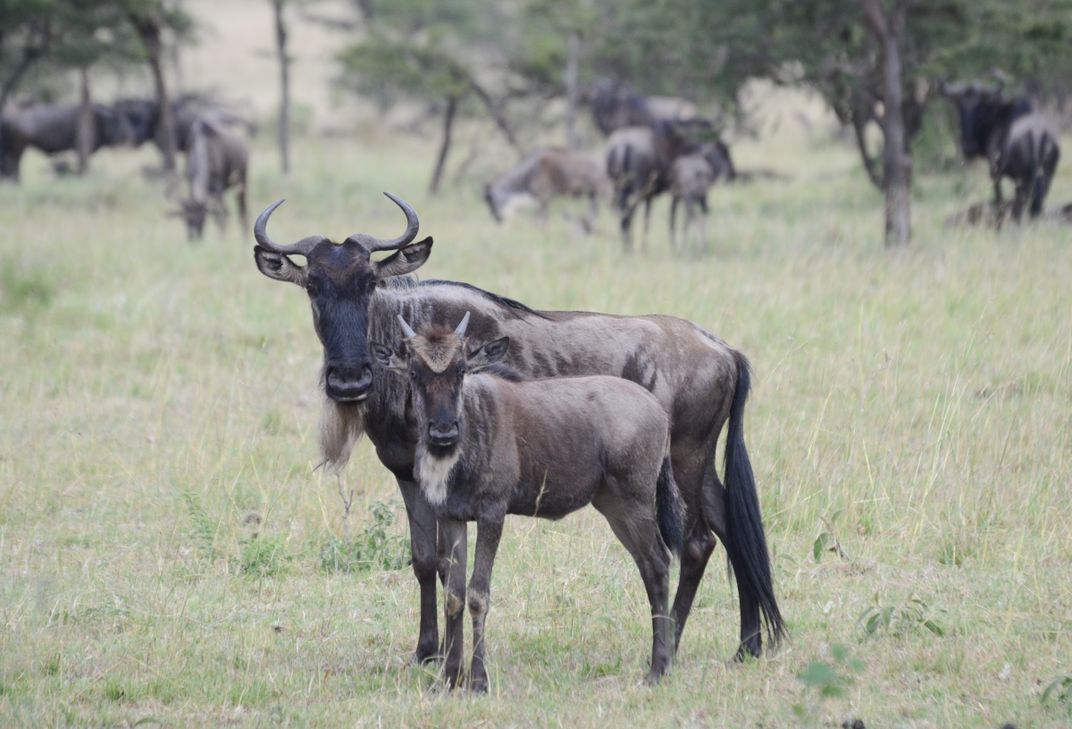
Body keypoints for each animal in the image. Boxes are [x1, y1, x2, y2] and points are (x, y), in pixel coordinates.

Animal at [373, 310, 681, 690]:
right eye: (415, 373)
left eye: (461, 369)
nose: (443, 432)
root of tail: (659, 411)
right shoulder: (451, 517)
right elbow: (454, 595)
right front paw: (449, 678)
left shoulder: (493, 513)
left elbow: (478, 594)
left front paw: (478, 680)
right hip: (613, 507)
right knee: (648, 565)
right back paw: (661, 664)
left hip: (635, 501)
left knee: (659, 563)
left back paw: (657, 669)